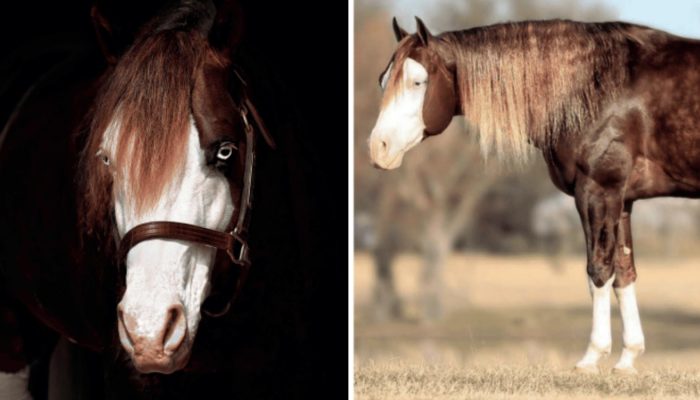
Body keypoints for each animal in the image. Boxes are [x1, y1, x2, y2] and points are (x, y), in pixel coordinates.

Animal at [368, 16, 700, 374]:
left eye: (418, 81)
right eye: (383, 80)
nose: (378, 148)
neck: (592, 84)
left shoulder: (598, 190)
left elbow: (598, 270)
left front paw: (591, 357)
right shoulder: (622, 199)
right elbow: (624, 273)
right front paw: (627, 359)